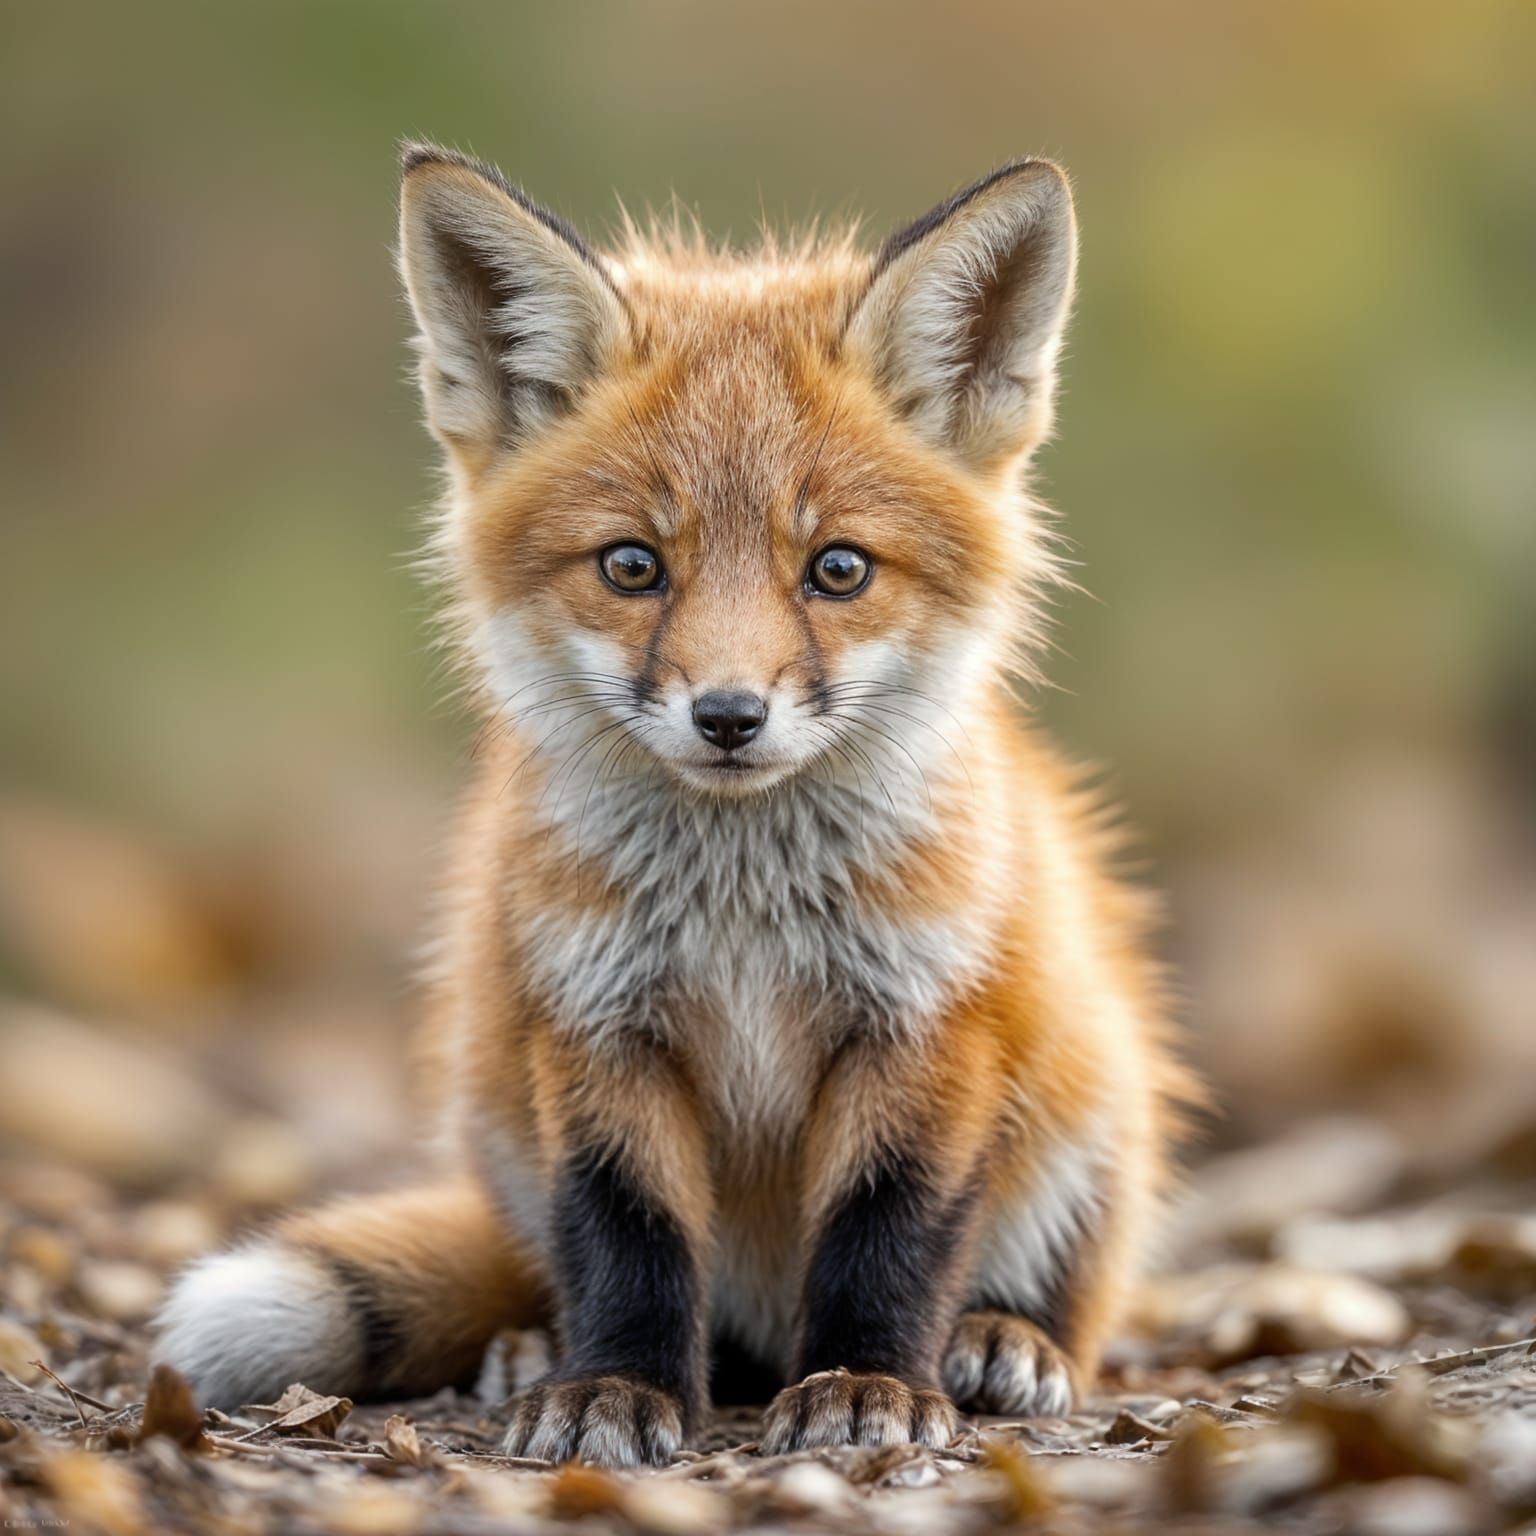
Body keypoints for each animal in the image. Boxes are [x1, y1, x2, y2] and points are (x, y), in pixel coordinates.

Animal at [155, 143, 1199, 1467]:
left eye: (838, 569)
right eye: (632, 566)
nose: (729, 716)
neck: (742, 915)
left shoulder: (927, 1025)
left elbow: (888, 1233)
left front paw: (866, 1383)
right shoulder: (595, 1021)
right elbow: (629, 1236)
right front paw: (615, 1388)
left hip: (1094, 1103)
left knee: (1064, 1298)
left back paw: (1002, 1340)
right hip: (496, 1104)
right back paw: (541, 1353)